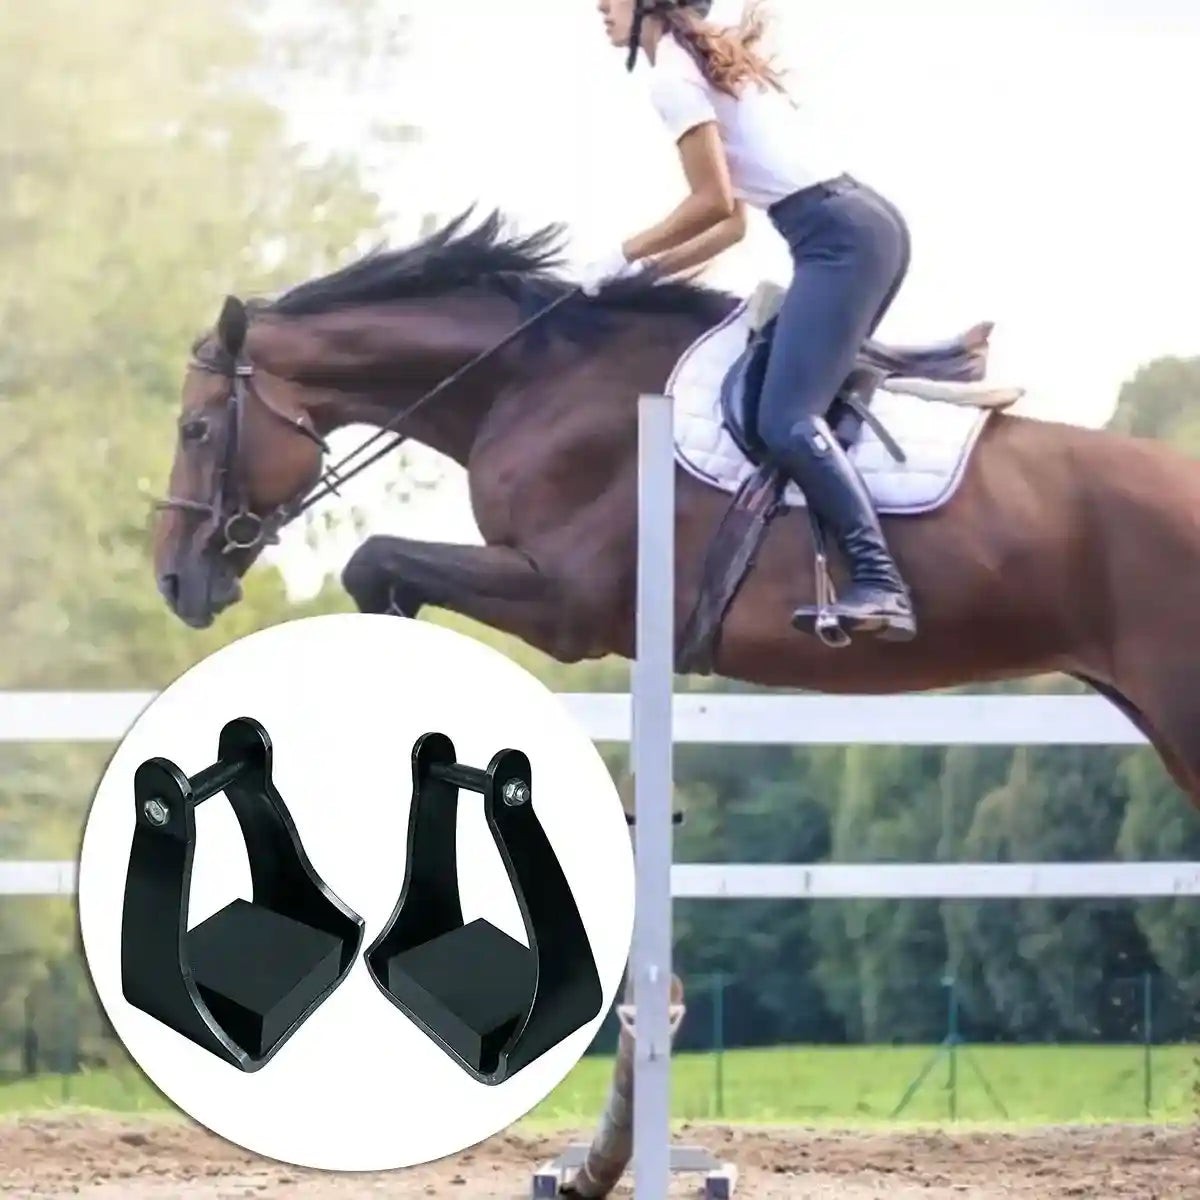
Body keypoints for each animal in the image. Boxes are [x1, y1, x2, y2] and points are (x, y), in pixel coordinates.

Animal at [153, 209, 1200, 1194]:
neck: (528, 384)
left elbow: (374, 563)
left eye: (197, 430)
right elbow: (381, 572)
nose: (175, 580)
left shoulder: (563, 601)